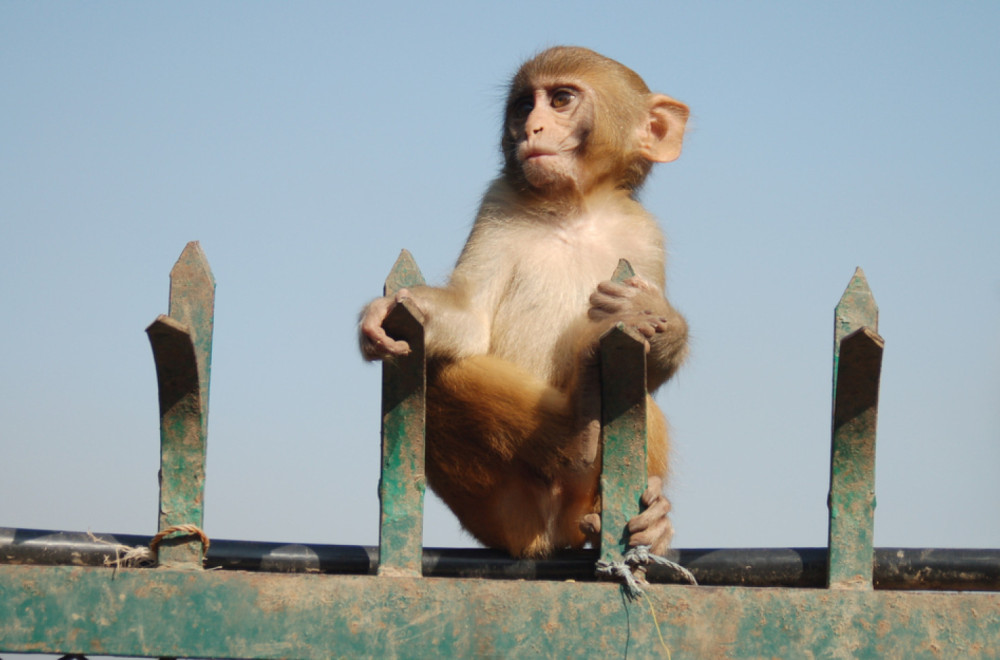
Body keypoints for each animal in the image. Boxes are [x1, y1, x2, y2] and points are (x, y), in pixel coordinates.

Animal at [364, 45, 692, 556]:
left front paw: (658, 317)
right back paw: (578, 429)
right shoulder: (497, 202)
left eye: (560, 99)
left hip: (581, 506)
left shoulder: (643, 235)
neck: (575, 211)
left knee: (639, 404)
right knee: (443, 370)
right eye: (523, 106)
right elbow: (471, 318)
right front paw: (382, 313)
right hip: (495, 508)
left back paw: (651, 522)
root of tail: (549, 535)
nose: (531, 128)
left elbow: (645, 361)